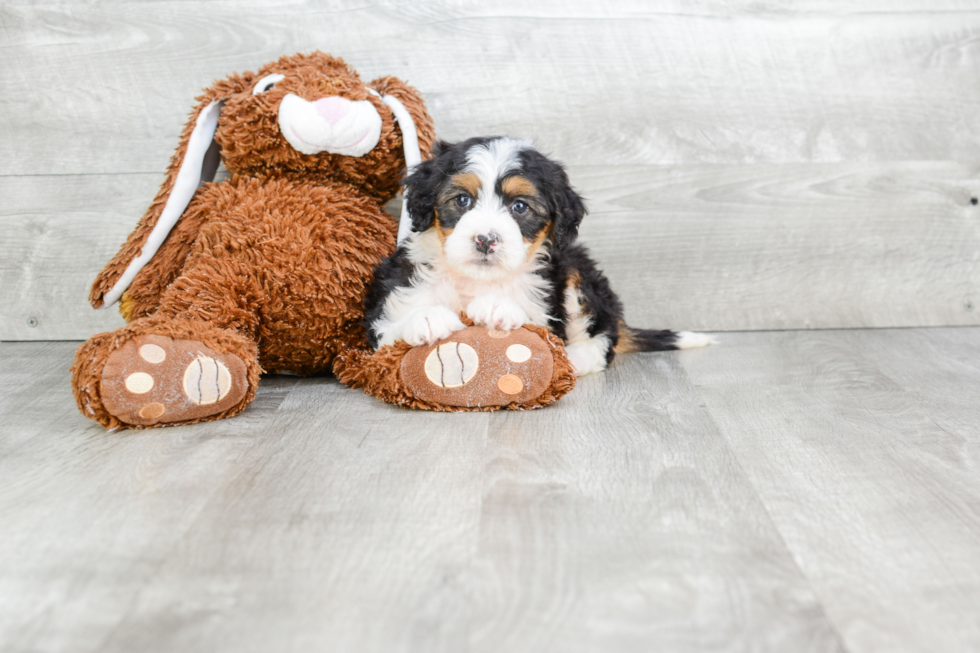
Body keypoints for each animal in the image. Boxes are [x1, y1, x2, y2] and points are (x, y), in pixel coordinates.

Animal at [366, 135, 712, 374]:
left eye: (519, 206)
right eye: (462, 200)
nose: (485, 240)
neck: (479, 280)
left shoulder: (546, 305)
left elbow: (537, 327)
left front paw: (497, 306)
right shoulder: (387, 312)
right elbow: (391, 328)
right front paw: (426, 318)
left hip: (577, 272)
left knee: (603, 338)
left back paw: (577, 357)